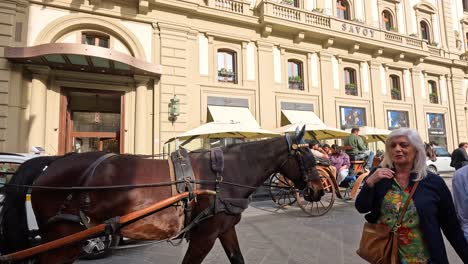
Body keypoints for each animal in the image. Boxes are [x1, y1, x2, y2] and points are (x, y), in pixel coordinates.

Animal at [0, 127, 322, 262]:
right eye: (306, 157)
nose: (318, 190)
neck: (224, 174)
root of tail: (53, 161)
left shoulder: (223, 228)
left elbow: (238, 258)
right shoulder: (205, 234)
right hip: (65, 239)